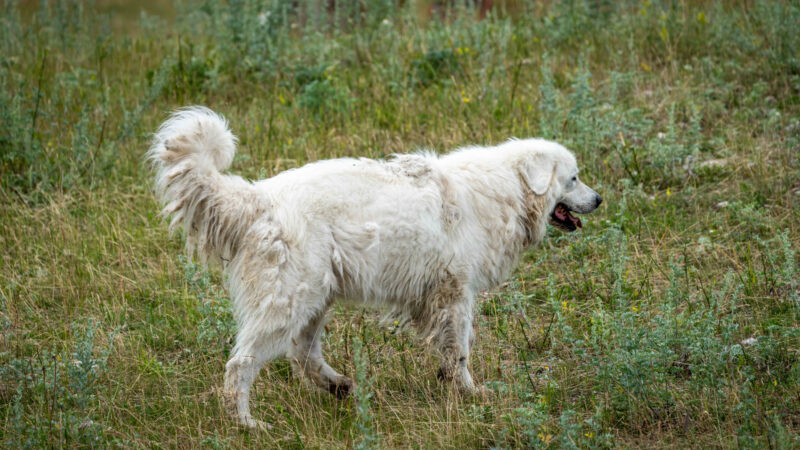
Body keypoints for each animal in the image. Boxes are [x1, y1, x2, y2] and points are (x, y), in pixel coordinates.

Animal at [148, 107, 600, 428]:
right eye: (574, 179)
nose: (599, 200)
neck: (508, 190)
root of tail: (259, 198)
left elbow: (449, 352)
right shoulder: (455, 294)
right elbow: (460, 352)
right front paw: (472, 394)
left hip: (316, 301)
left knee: (302, 353)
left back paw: (339, 387)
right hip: (288, 303)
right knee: (241, 365)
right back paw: (246, 424)